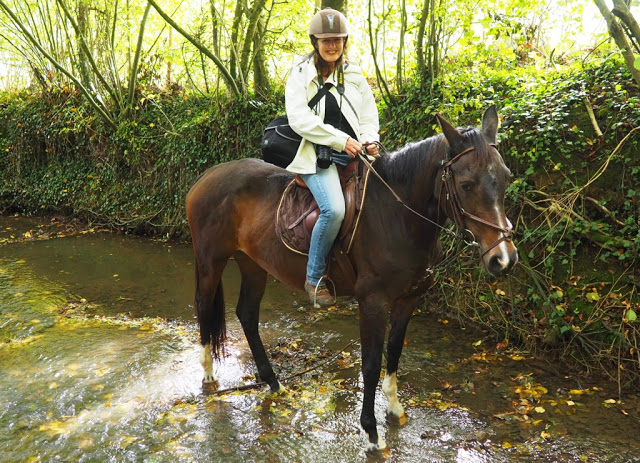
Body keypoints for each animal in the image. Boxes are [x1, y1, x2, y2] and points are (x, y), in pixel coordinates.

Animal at [184, 107, 516, 452]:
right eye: (466, 184)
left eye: (506, 177)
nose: (503, 258)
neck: (397, 215)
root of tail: (206, 177)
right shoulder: (373, 302)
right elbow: (369, 364)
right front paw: (371, 431)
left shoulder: (408, 299)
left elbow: (394, 352)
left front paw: (394, 408)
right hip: (211, 262)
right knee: (205, 307)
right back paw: (209, 375)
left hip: (253, 264)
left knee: (247, 315)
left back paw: (272, 381)